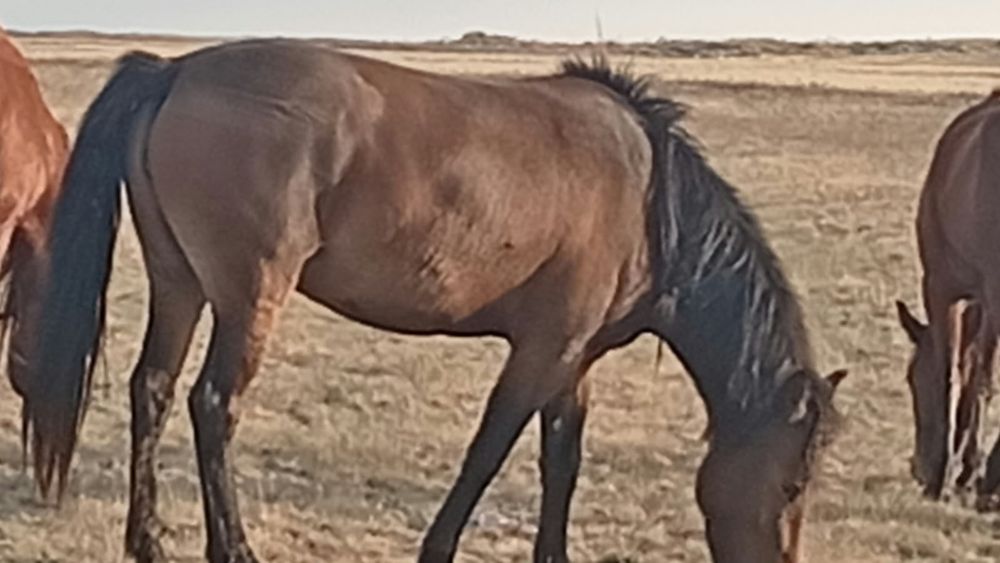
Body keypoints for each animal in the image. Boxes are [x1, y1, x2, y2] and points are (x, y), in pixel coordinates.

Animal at [13, 39, 846, 563]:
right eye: (792, 483)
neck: (648, 196)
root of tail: (176, 71)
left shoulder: (574, 360)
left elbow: (561, 460)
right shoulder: (542, 350)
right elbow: (488, 450)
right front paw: (439, 547)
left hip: (180, 282)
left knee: (151, 390)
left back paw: (147, 538)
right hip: (249, 297)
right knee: (213, 405)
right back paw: (234, 546)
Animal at [896, 90, 1000, 505]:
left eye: (911, 379)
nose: (917, 468)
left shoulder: (941, 288)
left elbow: (954, 374)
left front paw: (948, 472)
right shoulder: (981, 300)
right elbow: (973, 373)